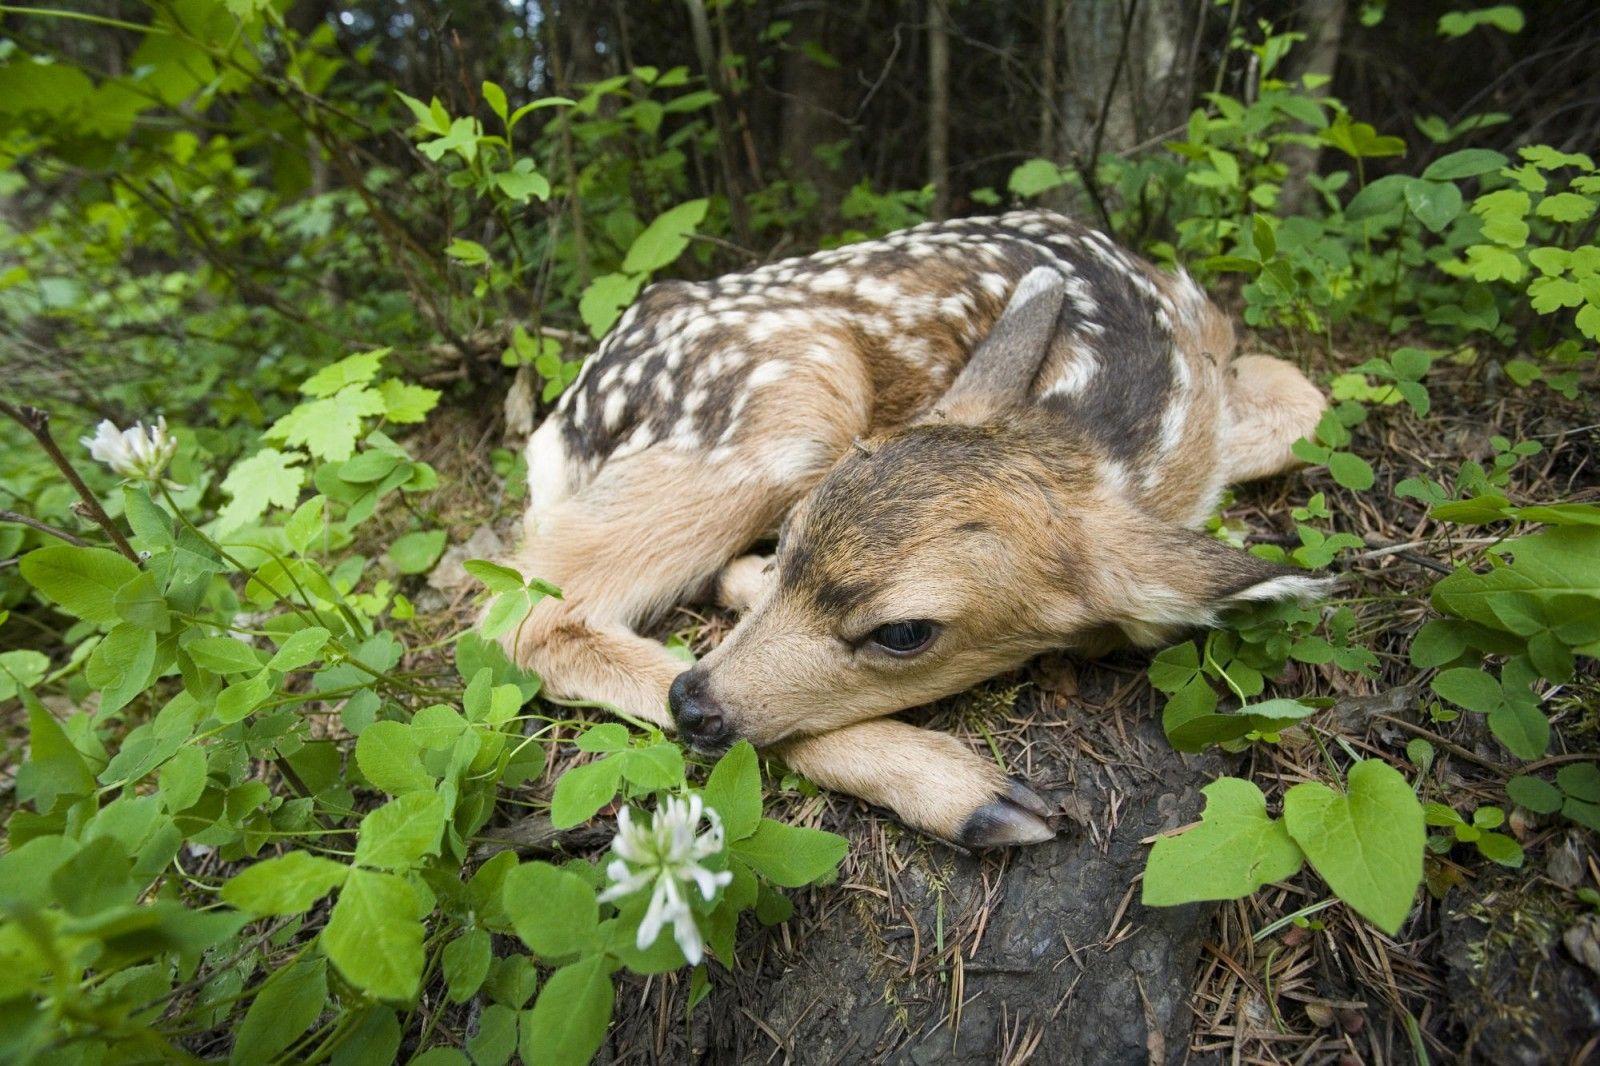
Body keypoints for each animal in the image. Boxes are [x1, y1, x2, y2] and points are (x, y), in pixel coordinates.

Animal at [497, 209, 1328, 849]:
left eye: (904, 633)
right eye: (791, 536)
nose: (693, 705)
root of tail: (560, 429)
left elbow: (1305, 403)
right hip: (796, 391)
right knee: (528, 621)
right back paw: (973, 795)